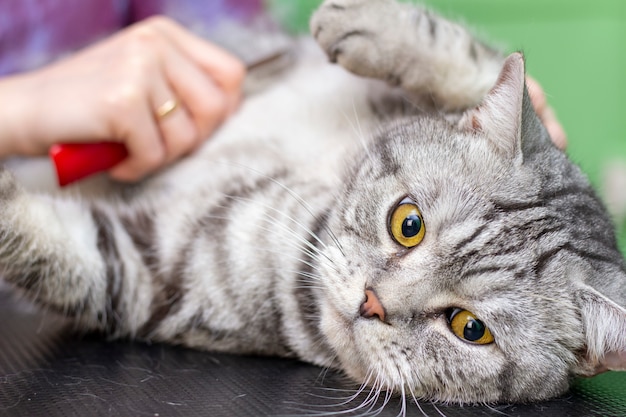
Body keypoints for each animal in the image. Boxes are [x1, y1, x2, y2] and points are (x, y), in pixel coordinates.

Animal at [1, 0, 624, 408]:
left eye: (470, 329)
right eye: (409, 223)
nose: (373, 303)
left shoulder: (142, 272)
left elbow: (40, 244)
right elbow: (471, 58)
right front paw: (363, 24)